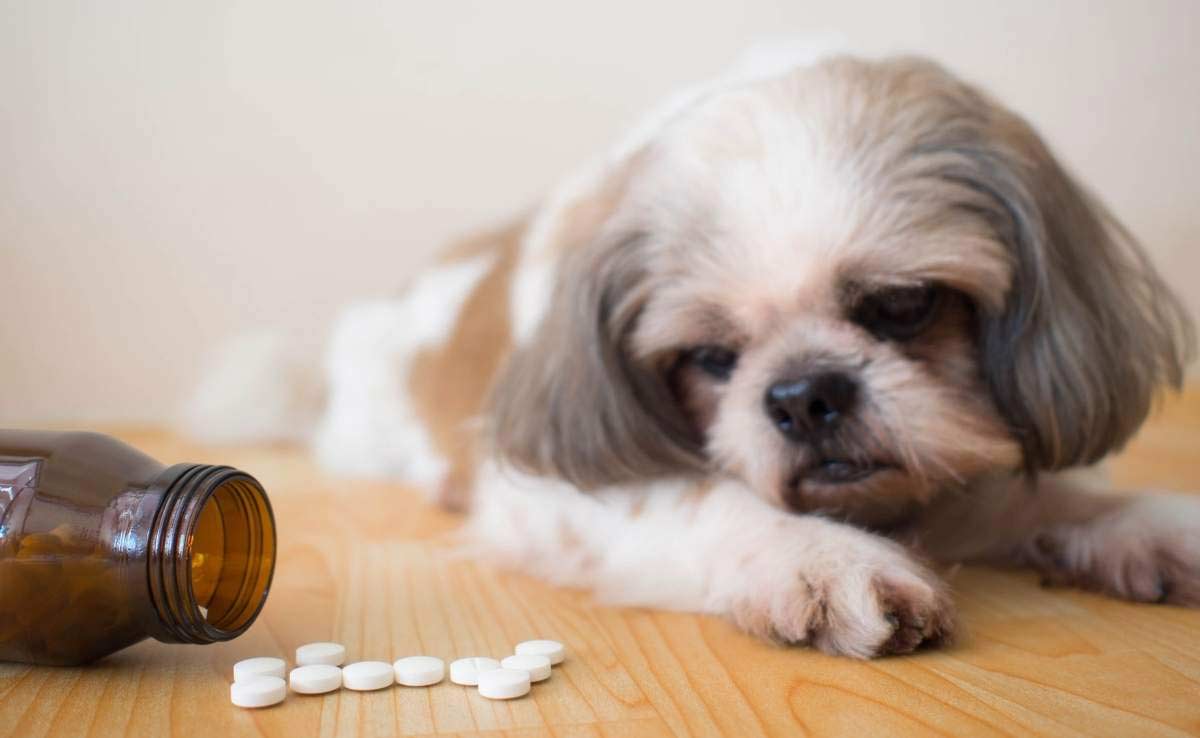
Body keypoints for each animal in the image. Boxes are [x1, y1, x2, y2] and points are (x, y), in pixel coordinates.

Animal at [192, 53, 1195, 662]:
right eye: (712, 355)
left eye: (904, 306)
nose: (804, 395)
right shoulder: (556, 492)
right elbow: (704, 497)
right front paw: (817, 557)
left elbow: (1044, 492)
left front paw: (1141, 525)